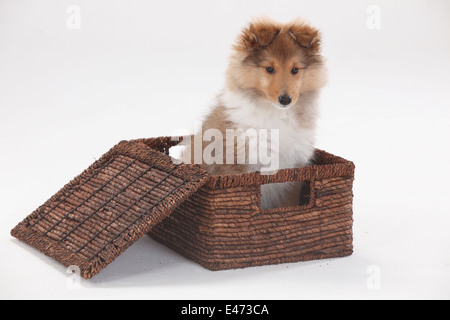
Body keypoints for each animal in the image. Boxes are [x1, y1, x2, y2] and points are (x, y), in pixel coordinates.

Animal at [180, 16, 326, 209]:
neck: (276, 113)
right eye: (269, 69)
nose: (285, 99)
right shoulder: (236, 165)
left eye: (295, 69)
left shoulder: (294, 174)